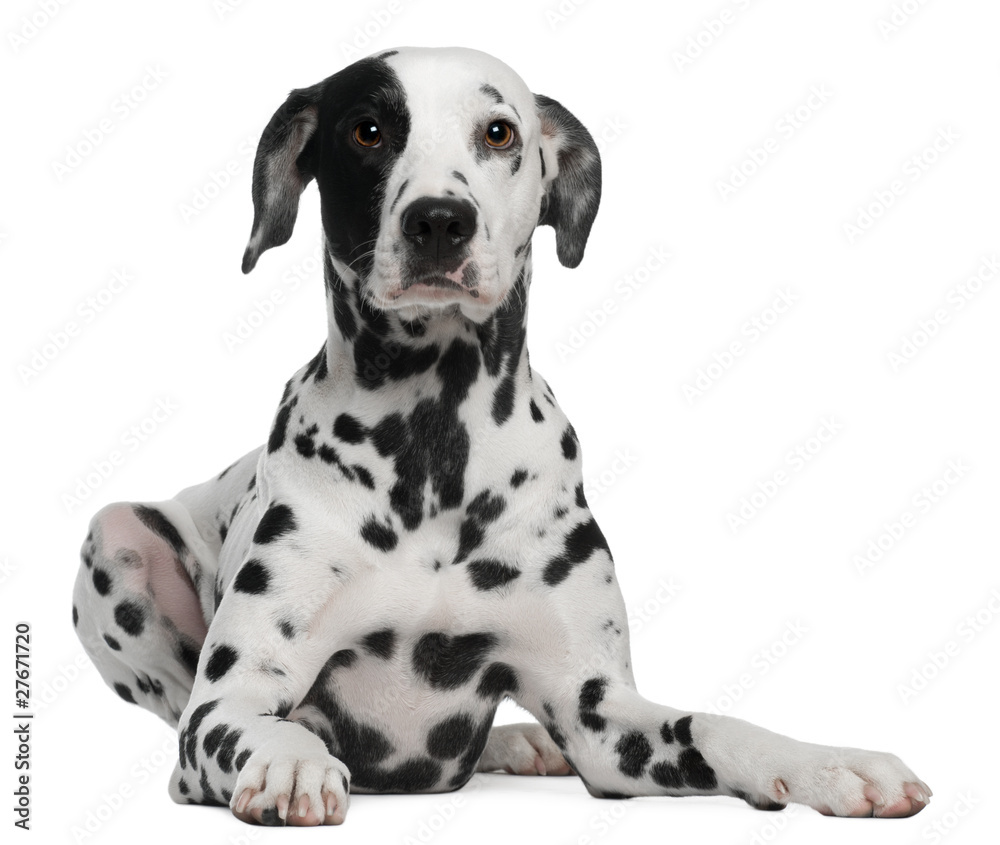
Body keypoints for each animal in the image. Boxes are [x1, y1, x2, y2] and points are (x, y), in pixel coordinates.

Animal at [72, 47, 928, 824]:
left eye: (499, 131)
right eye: (367, 130)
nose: (438, 220)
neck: (434, 445)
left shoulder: (599, 711)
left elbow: (712, 723)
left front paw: (826, 763)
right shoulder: (227, 700)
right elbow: (253, 725)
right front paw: (290, 761)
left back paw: (520, 741)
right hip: (118, 537)